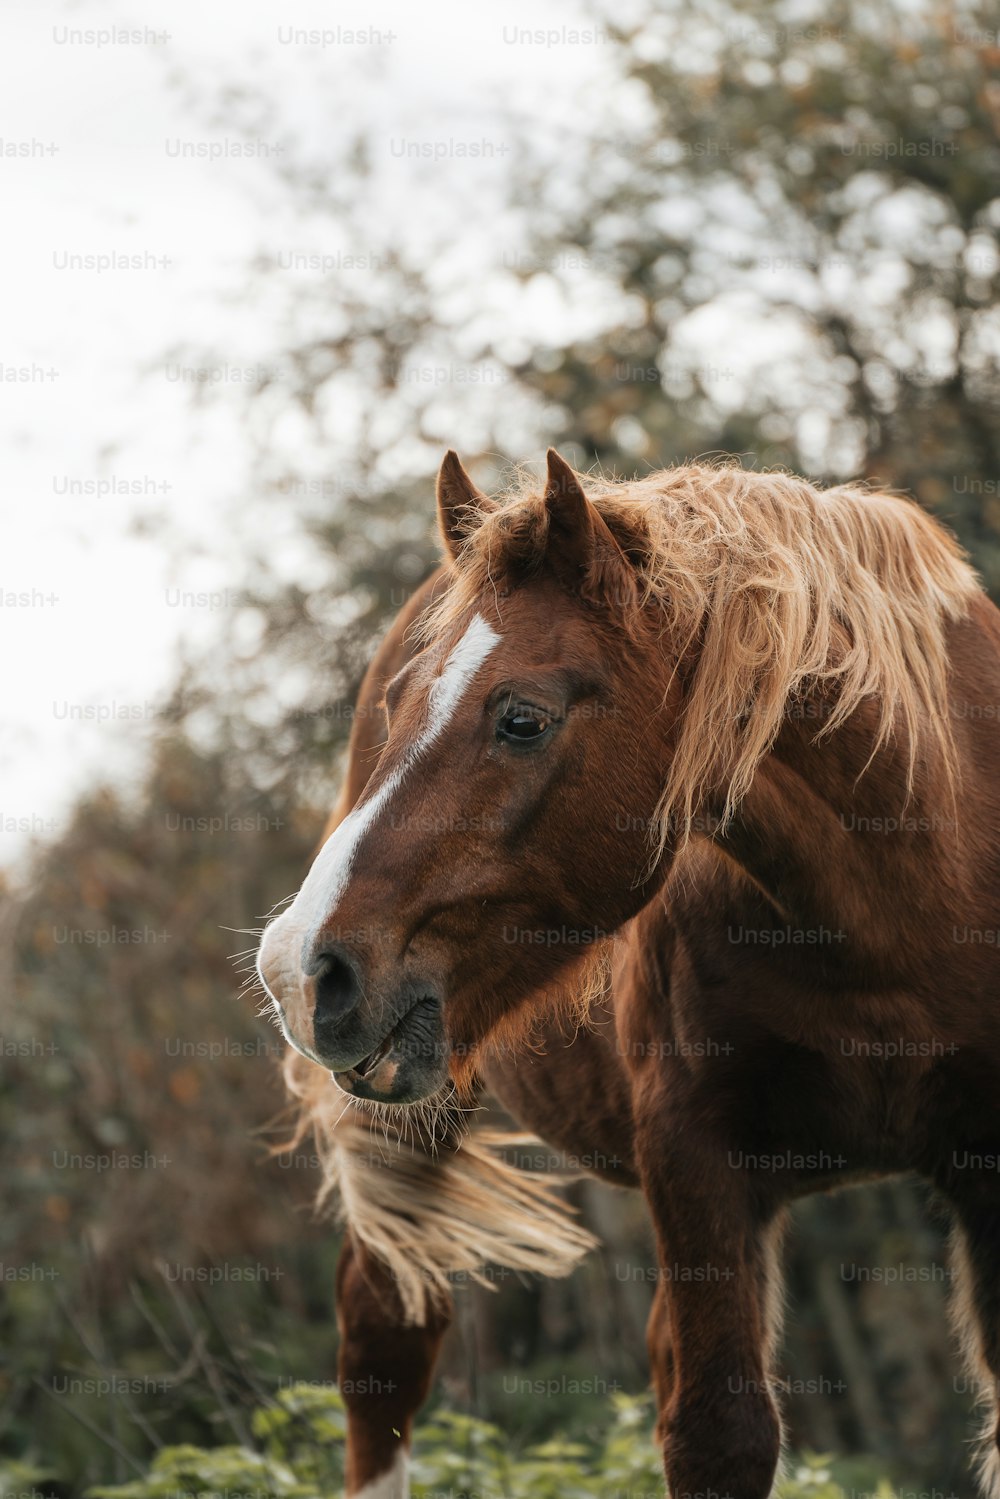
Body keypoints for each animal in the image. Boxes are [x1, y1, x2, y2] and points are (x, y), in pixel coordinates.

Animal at [256, 452, 1000, 1499]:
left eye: (523, 718)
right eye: (398, 707)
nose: (299, 967)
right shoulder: (695, 1153)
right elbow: (721, 1433)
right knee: (384, 1345)